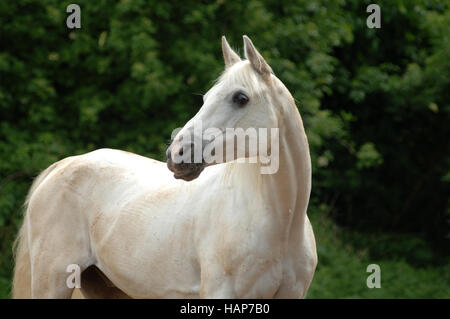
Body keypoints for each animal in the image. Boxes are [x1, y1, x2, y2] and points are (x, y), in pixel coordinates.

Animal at [13, 36, 316, 298]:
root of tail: (62, 166)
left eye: (241, 98)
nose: (176, 154)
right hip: (53, 281)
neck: (282, 225)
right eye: (206, 97)